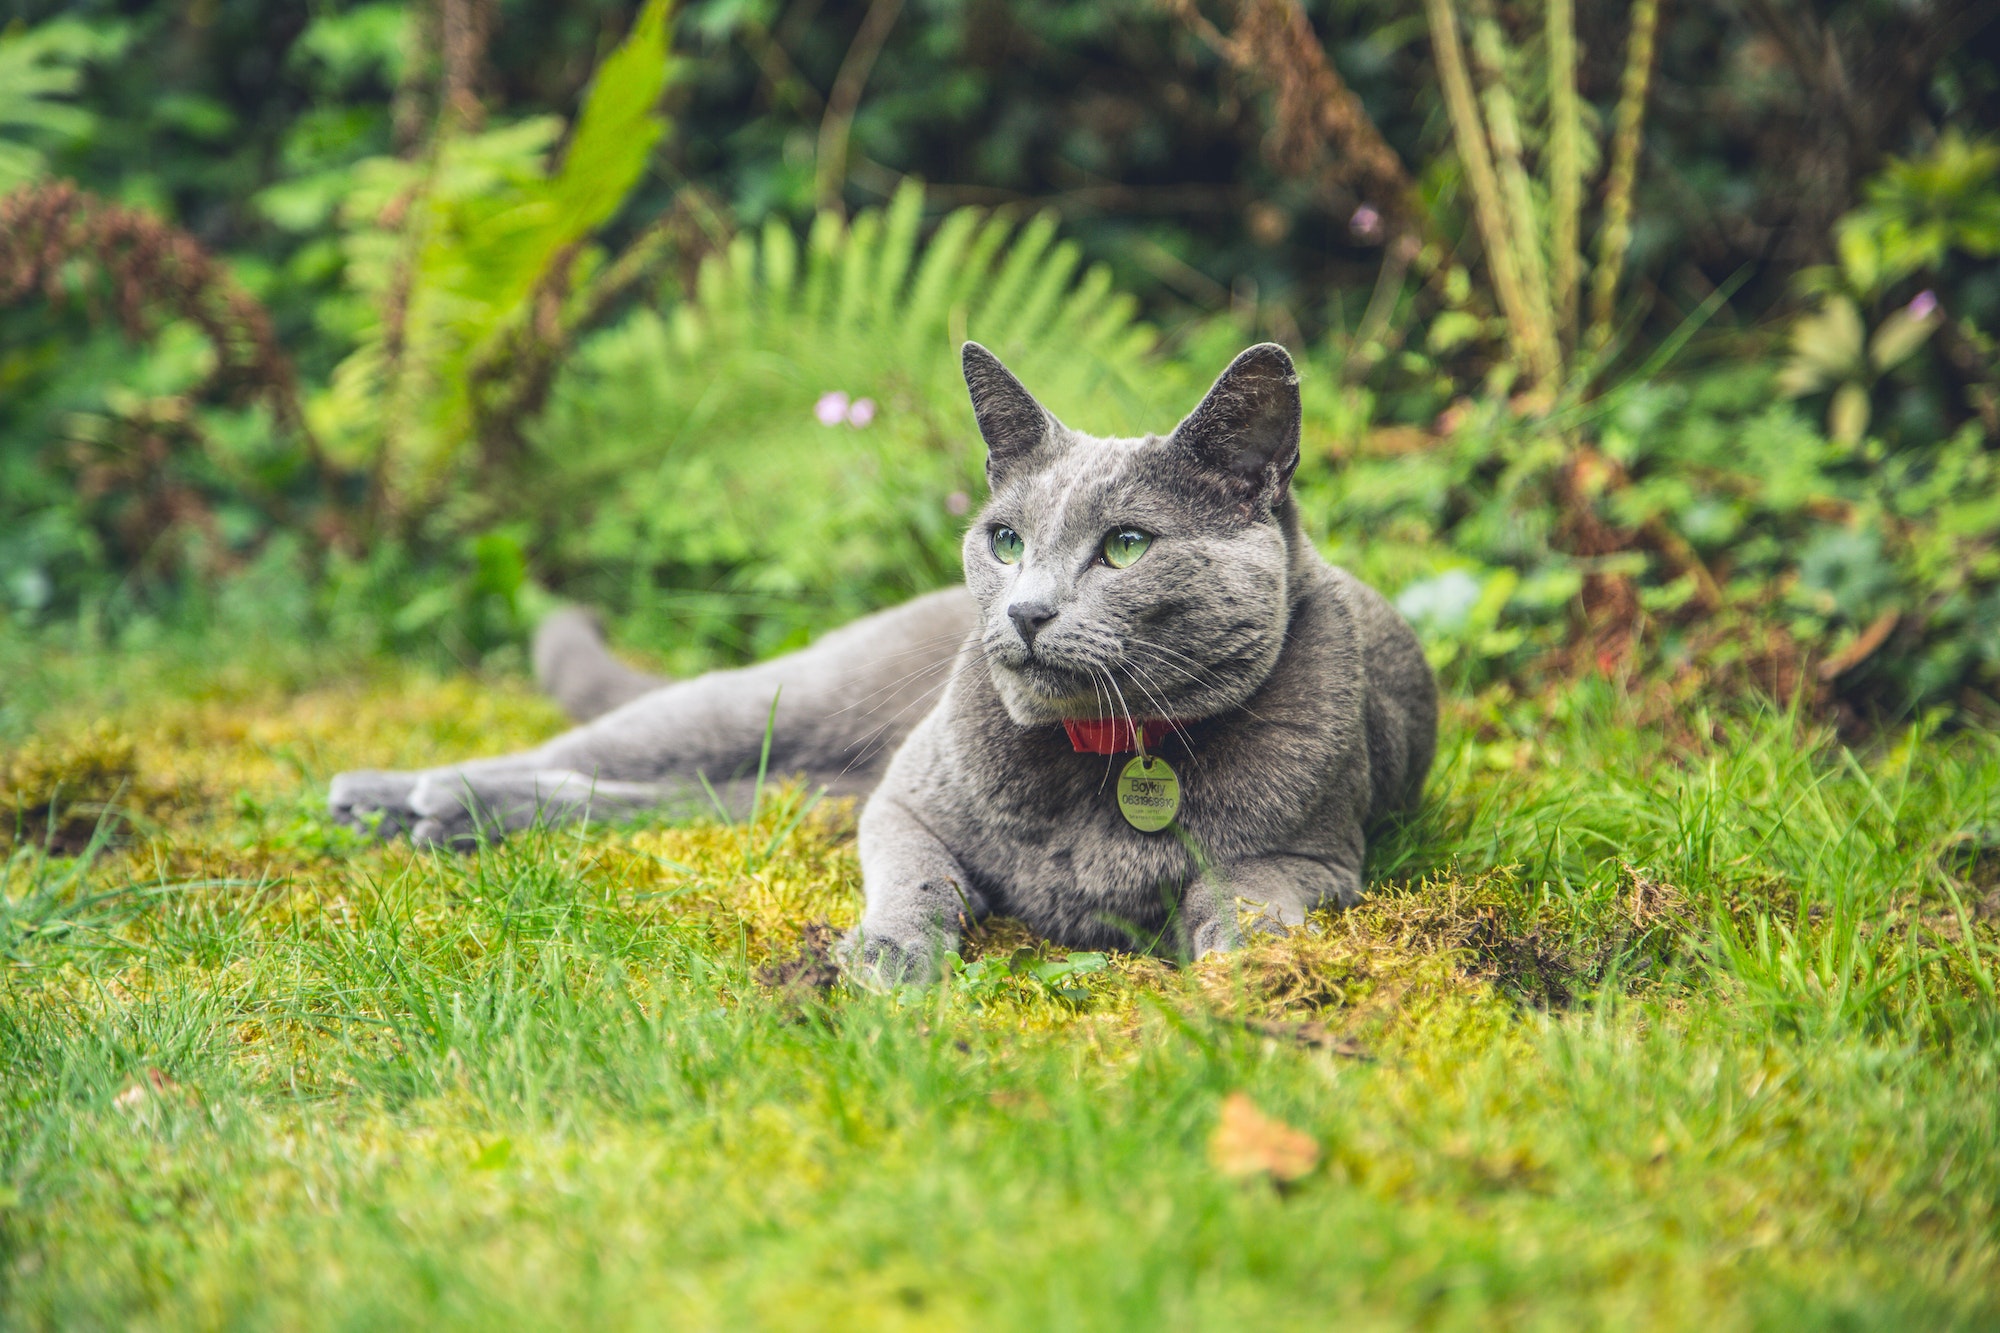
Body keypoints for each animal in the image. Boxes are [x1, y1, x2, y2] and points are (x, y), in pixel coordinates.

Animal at [328, 342, 1432, 976]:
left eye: (1125, 545)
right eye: (1004, 539)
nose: (1025, 609)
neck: (1107, 755)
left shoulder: (1315, 855)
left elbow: (1242, 892)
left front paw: (1245, 962)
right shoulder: (902, 805)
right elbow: (918, 877)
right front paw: (893, 951)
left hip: (798, 788)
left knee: (669, 795)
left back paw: (440, 814)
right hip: (781, 701)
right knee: (597, 748)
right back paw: (401, 794)